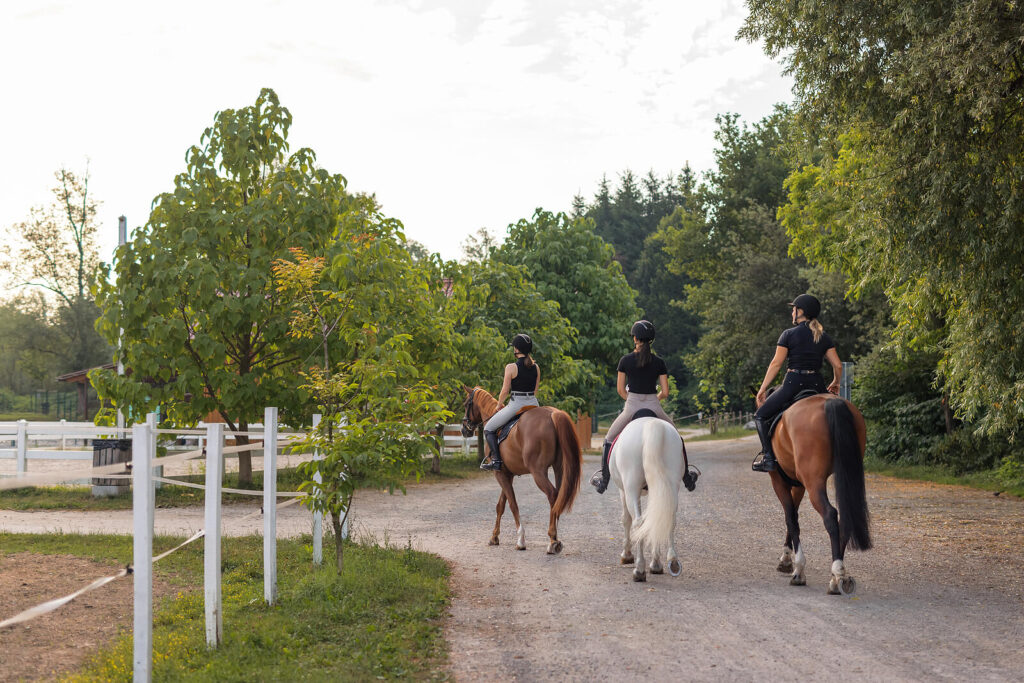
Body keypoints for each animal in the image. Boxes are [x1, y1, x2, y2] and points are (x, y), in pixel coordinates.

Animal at [460, 385, 581, 557]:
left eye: (466, 404)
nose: (465, 430)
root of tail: (552, 414)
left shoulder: (499, 473)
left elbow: (512, 504)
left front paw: (520, 540)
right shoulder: (506, 474)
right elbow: (501, 505)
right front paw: (494, 537)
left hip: (538, 472)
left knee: (552, 494)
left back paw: (552, 540)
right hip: (559, 468)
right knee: (559, 496)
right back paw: (556, 538)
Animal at [610, 417, 684, 581]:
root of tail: (652, 425)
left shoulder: (623, 491)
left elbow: (626, 520)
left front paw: (626, 555)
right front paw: (656, 563)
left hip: (631, 487)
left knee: (638, 522)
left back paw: (639, 569)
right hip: (670, 485)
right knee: (667, 518)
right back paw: (670, 562)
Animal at [770, 393, 872, 593]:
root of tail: (831, 401)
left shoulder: (778, 481)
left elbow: (790, 518)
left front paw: (797, 568)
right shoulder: (799, 485)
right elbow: (793, 515)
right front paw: (786, 558)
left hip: (814, 482)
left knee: (830, 515)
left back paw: (837, 573)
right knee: (845, 516)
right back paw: (836, 578)